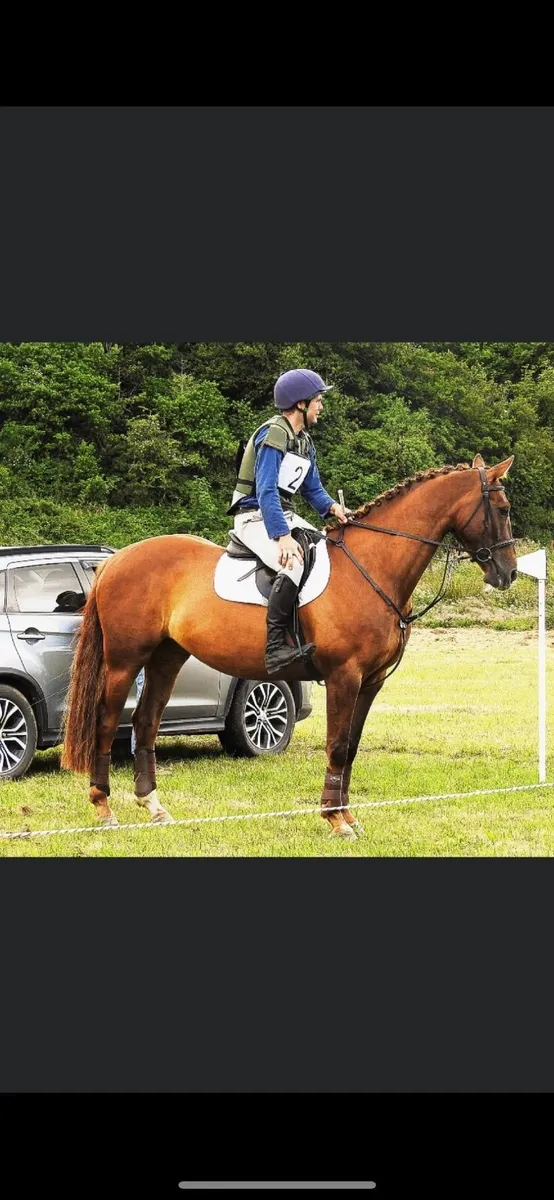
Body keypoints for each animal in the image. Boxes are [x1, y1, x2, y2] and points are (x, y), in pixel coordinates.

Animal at [61, 453, 517, 838]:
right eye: (503, 509)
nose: (508, 574)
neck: (372, 568)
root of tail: (115, 560)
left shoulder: (371, 682)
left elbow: (351, 747)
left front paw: (348, 815)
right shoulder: (344, 677)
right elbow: (337, 744)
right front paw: (336, 820)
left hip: (166, 659)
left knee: (145, 722)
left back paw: (154, 807)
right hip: (125, 660)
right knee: (107, 721)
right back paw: (104, 808)